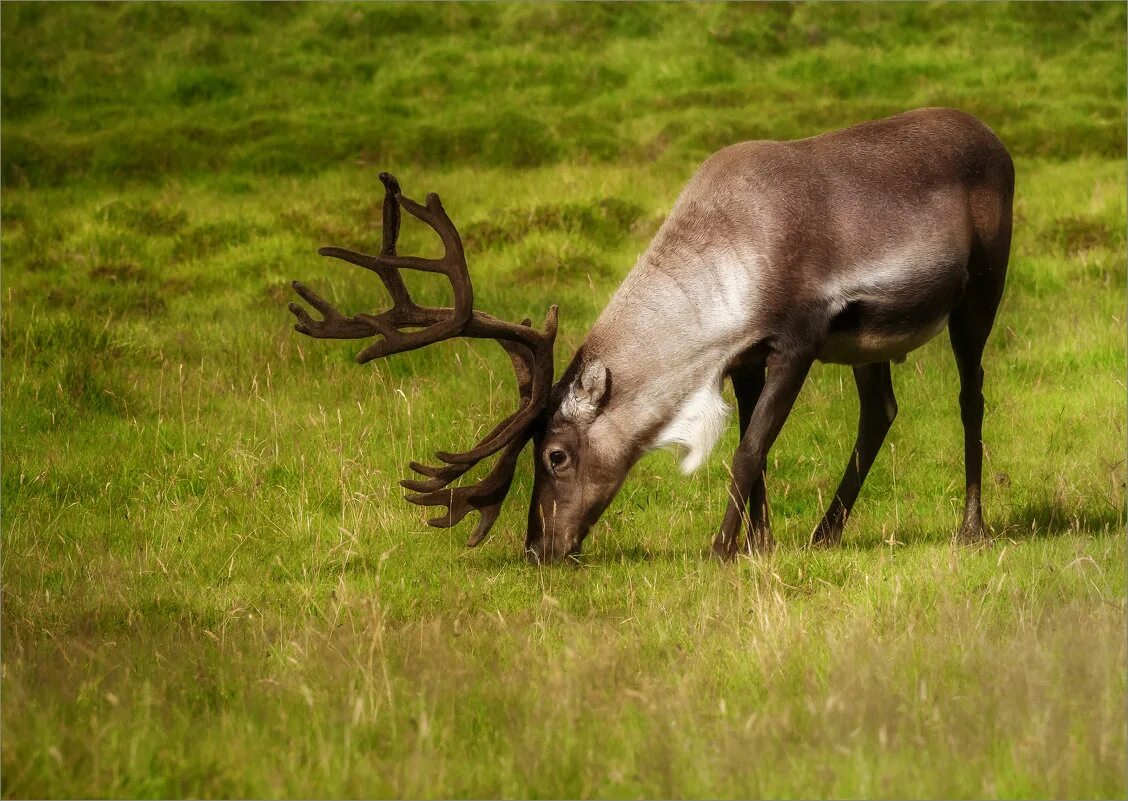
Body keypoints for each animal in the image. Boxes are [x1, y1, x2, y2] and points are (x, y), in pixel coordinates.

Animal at [288, 108, 1015, 564]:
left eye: (555, 455)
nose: (538, 546)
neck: (729, 262)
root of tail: (998, 141)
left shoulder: (798, 338)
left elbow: (747, 451)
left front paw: (721, 550)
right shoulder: (745, 360)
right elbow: (757, 452)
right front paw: (761, 544)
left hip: (981, 290)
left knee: (971, 396)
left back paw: (971, 527)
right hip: (870, 341)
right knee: (881, 410)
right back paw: (824, 534)